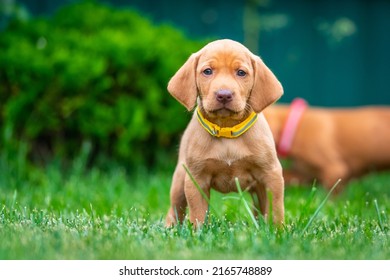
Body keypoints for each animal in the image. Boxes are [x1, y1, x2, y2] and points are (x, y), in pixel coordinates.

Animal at [165, 39, 284, 226]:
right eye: (207, 71)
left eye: (241, 72)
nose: (224, 95)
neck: (227, 129)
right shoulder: (196, 179)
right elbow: (197, 215)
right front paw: (197, 231)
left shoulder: (272, 174)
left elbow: (276, 210)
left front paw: (278, 230)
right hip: (180, 179)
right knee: (175, 210)